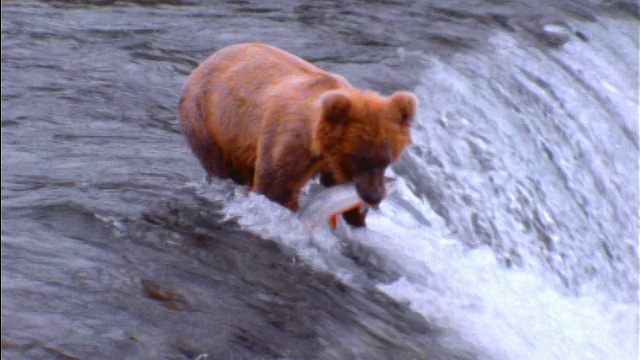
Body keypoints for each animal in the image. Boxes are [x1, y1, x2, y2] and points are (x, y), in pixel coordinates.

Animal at [182, 43, 418, 228]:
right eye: (358, 157)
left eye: (387, 160)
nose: (375, 196)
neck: (318, 144)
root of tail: (205, 62)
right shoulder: (289, 142)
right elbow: (275, 187)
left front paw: (356, 216)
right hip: (210, 124)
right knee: (223, 167)